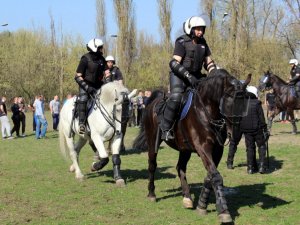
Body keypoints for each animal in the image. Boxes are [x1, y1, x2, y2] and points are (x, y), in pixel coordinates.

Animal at [134, 69, 251, 223]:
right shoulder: (203, 148)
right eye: (228, 102)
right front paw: (223, 210)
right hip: (153, 141)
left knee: (180, 168)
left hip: (185, 149)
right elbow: (215, 176)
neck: (206, 110)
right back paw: (152, 193)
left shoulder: (217, 150)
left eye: (245, 103)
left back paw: (187, 198)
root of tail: (153, 103)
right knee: (152, 165)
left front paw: (201, 205)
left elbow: (210, 176)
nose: (236, 134)